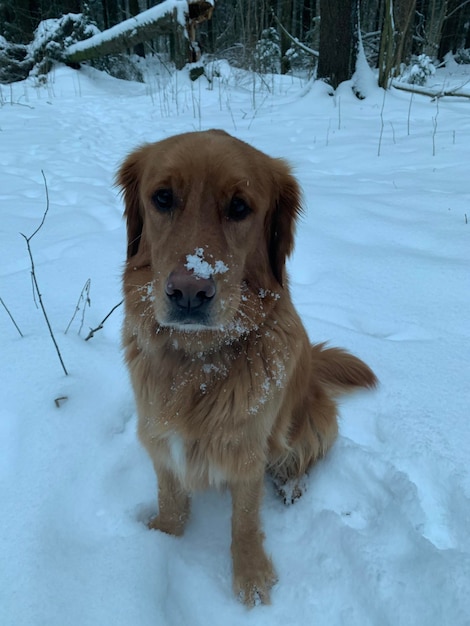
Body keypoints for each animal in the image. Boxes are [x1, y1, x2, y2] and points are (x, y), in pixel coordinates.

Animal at [118, 130, 378, 604]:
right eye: (162, 198)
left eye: (240, 207)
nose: (189, 292)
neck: (198, 362)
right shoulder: (158, 434)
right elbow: (170, 499)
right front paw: (163, 539)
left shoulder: (247, 450)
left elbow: (245, 520)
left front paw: (251, 575)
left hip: (314, 421)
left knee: (303, 458)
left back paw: (293, 484)